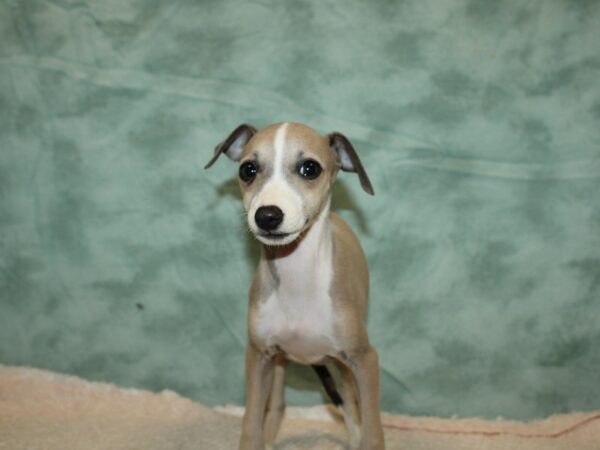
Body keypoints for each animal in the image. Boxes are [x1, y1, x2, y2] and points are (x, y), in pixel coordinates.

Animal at [205, 122, 384, 450]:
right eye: (248, 169)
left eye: (309, 168)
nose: (267, 216)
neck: (297, 280)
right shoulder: (259, 355)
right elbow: (251, 425)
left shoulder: (365, 360)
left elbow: (372, 430)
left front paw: (364, 436)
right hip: (279, 362)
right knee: (277, 406)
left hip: (344, 364)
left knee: (350, 405)